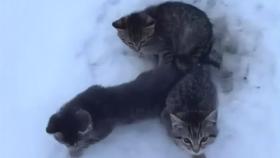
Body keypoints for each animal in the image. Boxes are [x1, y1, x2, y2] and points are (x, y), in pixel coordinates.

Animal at [46, 63, 184, 157]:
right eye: (66, 143)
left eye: (76, 142)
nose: (72, 146)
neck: (88, 105)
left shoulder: (104, 130)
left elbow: (91, 140)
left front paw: (77, 151)